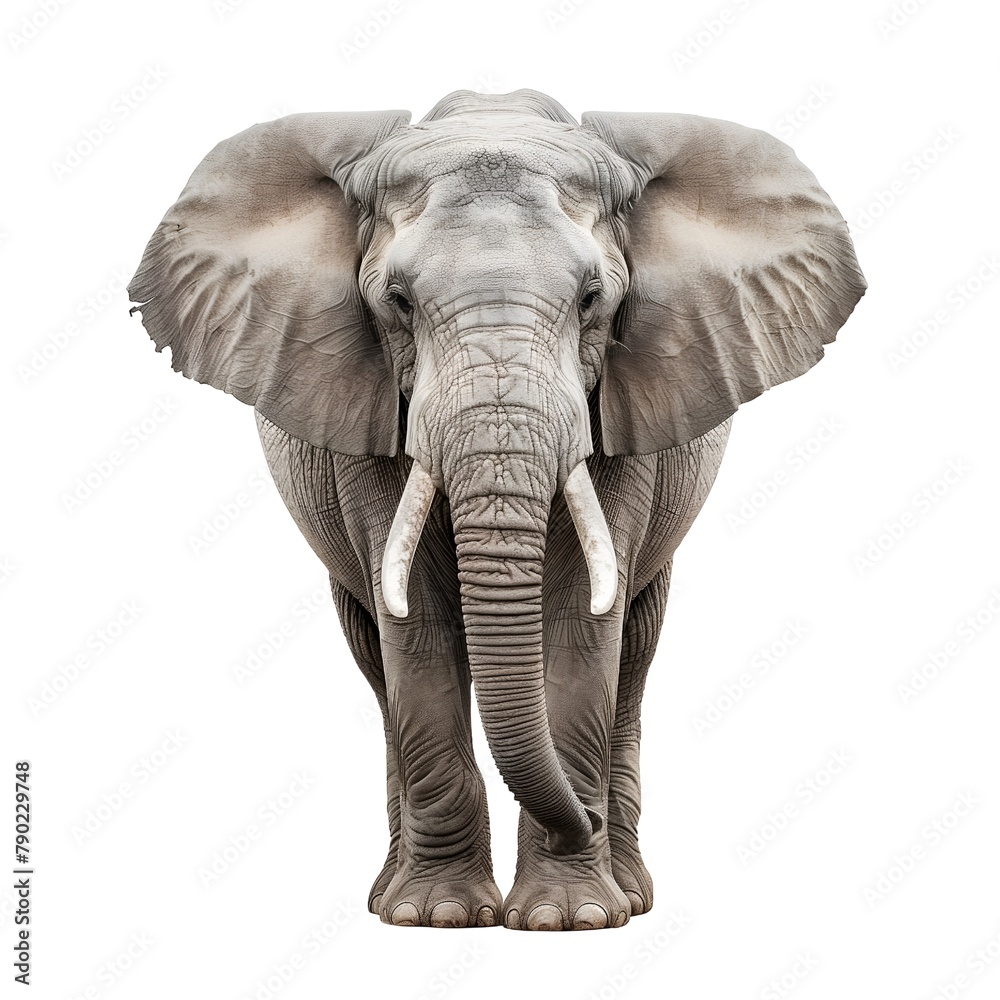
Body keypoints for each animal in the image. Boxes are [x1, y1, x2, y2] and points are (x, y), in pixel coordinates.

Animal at [128, 89, 865, 930]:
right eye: (396, 303)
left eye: (593, 301)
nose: (581, 817)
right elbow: (415, 630)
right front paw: (439, 916)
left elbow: (584, 621)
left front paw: (572, 919)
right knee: (377, 664)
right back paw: (389, 895)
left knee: (636, 652)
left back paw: (632, 893)